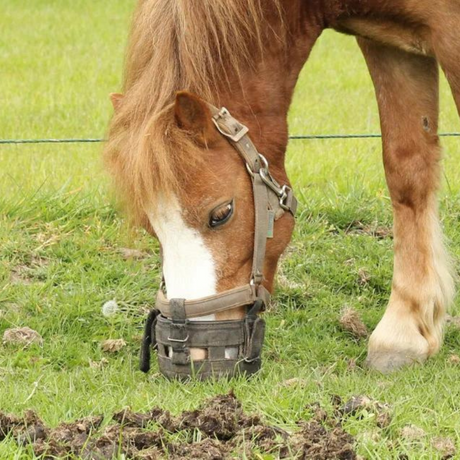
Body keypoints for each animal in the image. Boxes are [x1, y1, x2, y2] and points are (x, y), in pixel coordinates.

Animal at [105, 0, 460, 374]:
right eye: (151, 227)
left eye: (222, 213)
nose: (193, 353)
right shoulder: (387, 45)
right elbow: (406, 171)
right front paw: (403, 333)